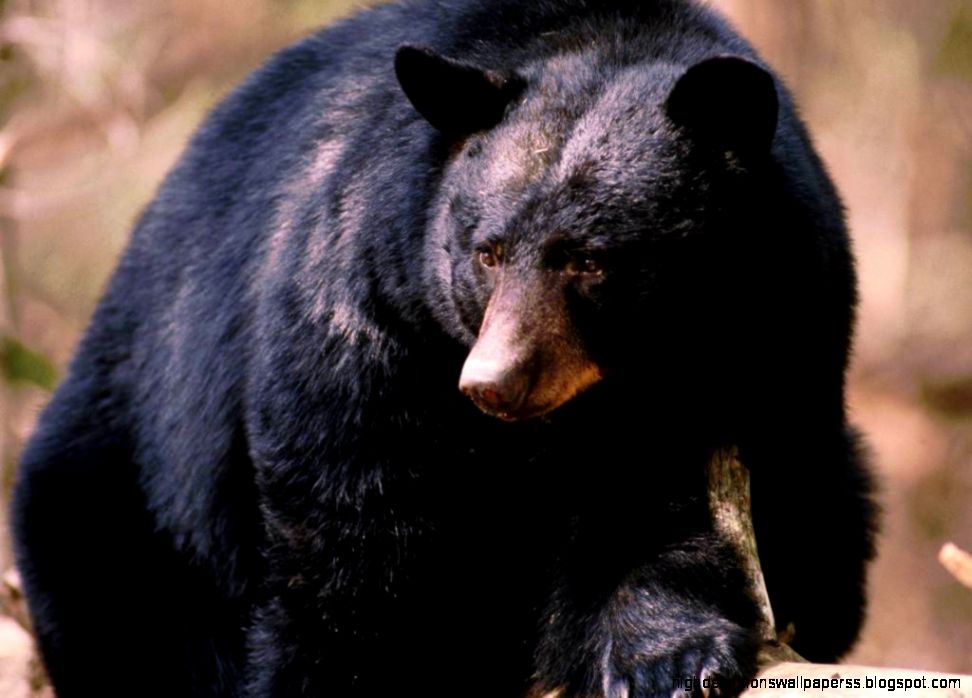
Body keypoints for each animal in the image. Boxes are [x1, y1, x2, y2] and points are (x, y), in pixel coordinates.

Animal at [10, 0, 878, 696]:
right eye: (485, 252)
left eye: (590, 260)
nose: (495, 382)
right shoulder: (368, 304)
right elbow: (352, 528)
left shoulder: (776, 334)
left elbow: (657, 493)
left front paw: (665, 659)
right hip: (128, 489)